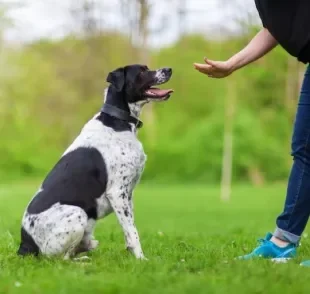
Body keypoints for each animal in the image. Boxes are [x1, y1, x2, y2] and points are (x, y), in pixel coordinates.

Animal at [17, 63, 174, 260]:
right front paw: (141, 259)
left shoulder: (127, 195)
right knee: (60, 259)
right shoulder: (117, 192)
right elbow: (133, 232)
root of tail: (24, 245)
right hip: (77, 214)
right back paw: (82, 260)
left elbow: (129, 231)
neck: (117, 120)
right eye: (142, 71)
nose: (169, 69)